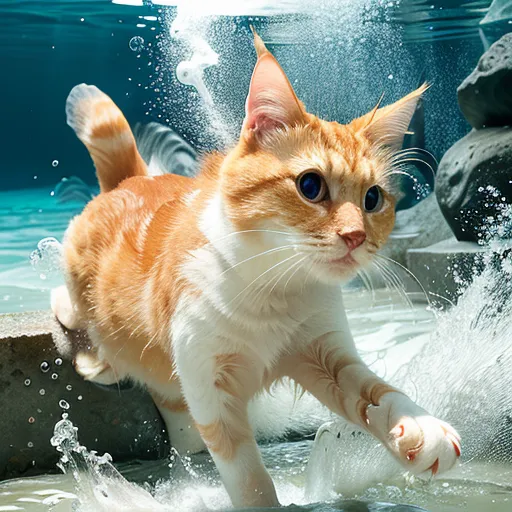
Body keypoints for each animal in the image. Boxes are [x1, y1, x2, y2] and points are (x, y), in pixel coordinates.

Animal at [52, 31, 460, 508]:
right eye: (310, 185)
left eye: (373, 198)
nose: (357, 236)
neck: (273, 290)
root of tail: (133, 179)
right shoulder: (210, 390)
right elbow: (249, 478)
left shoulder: (326, 353)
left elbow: (378, 389)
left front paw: (420, 427)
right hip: (83, 298)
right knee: (71, 310)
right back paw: (97, 361)